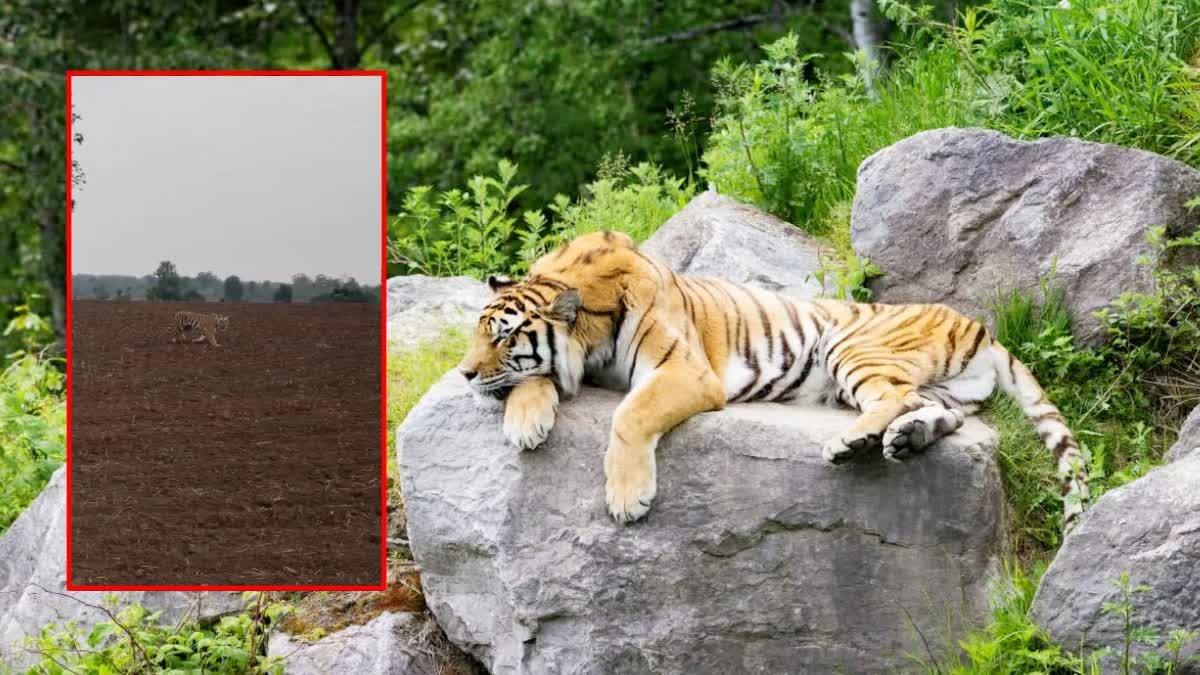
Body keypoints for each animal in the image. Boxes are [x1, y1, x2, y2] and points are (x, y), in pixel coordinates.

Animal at [458, 231, 1090, 529]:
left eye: (504, 337)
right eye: (479, 334)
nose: (463, 373)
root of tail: (979, 324)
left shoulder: (686, 371)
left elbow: (629, 416)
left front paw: (626, 498)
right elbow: (536, 381)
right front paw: (526, 423)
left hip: (850, 346)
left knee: (893, 395)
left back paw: (851, 440)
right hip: (941, 391)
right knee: (938, 411)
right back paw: (903, 440)